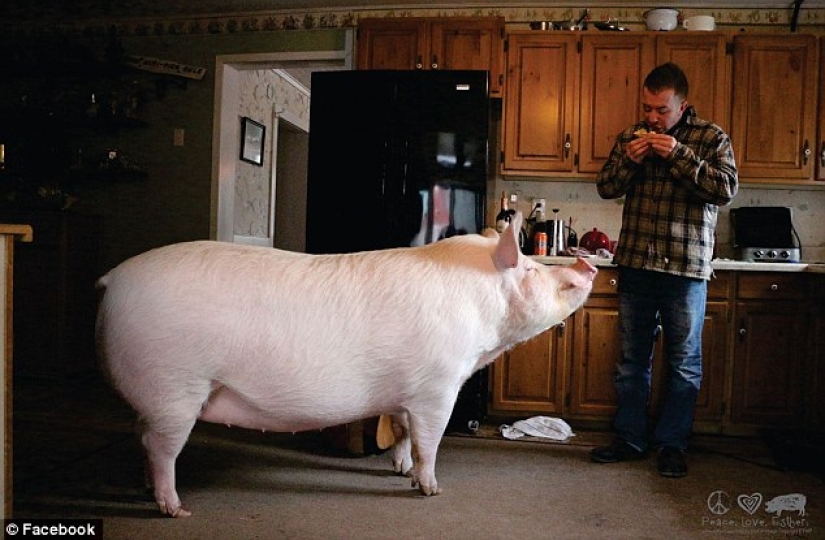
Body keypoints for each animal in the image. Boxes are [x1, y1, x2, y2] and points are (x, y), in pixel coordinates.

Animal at [95, 213, 597, 517]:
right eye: (530, 267)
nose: (588, 264)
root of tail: (112, 279)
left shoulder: (405, 390)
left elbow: (401, 430)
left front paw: (399, 470)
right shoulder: (437, 385)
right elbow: (429, 439)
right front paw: (430, 488)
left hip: (157, 394)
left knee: (142, 436)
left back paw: (148, 491)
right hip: (174, 385)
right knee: (161, 447)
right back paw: (175, 509)